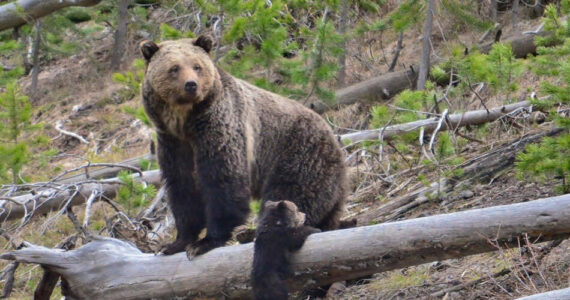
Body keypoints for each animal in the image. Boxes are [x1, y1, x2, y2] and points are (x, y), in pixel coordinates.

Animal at [140, 34, 344, 255]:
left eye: (197, 66)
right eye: (174, 68)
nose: (191, 85)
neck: (185, 122)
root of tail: (334, 137)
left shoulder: (219, 128)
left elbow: (222, 180)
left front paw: (207, 241)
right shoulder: (172, 143)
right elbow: (182, 187)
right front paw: (176, 242)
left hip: (299, 153)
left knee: (289, 194)